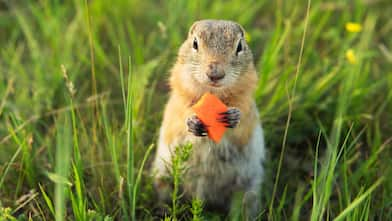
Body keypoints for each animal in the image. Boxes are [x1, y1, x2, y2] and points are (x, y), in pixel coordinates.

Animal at [152, 19, 264, 218]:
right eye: (195, 43)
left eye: (240, 46)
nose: (215, 73)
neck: (213, 94)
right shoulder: (179, 102)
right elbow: (182, 116)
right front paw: (193, 123)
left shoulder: (247, 105)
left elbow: (243, 120)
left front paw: (234, 117)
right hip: (163, 178)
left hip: (248, 189)